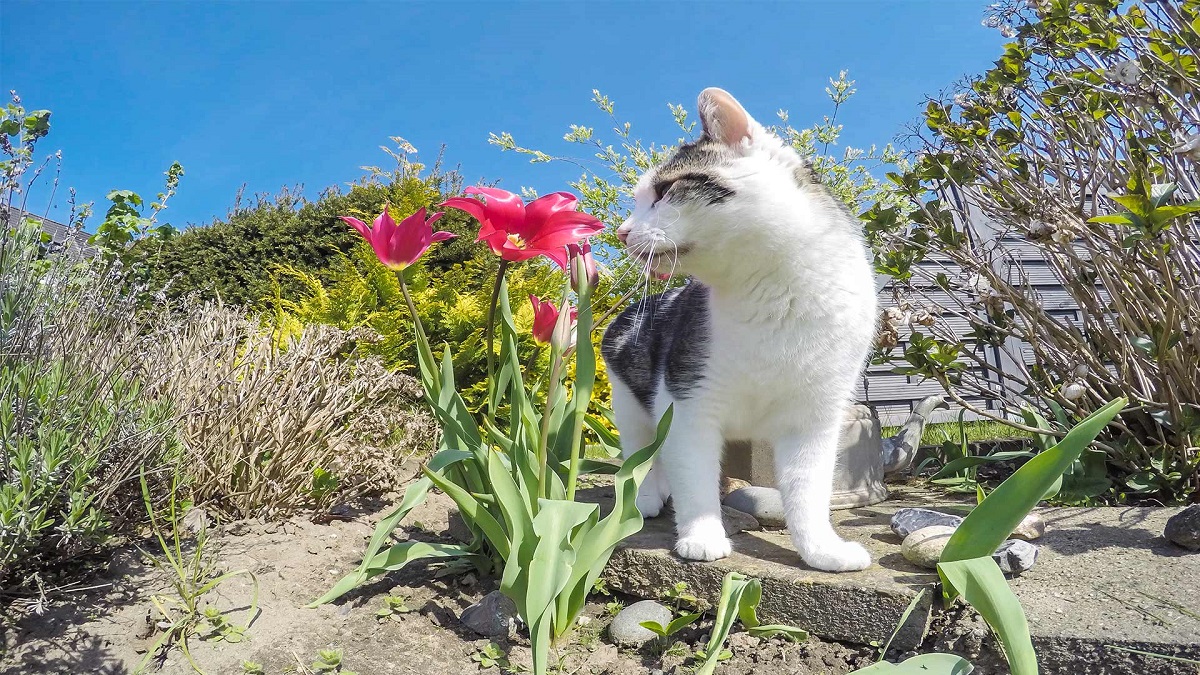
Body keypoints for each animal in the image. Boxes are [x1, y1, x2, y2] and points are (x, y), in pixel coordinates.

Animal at [604, 86, 878, 569]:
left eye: (664, 190)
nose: (622, 231)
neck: (771, 293)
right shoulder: (687, 399)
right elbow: (693, 475)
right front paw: (702, 536)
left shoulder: (815, 417)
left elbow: (808, 490)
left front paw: (822, 550)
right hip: (631, 402)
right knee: (643, 453)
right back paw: (646, 497)